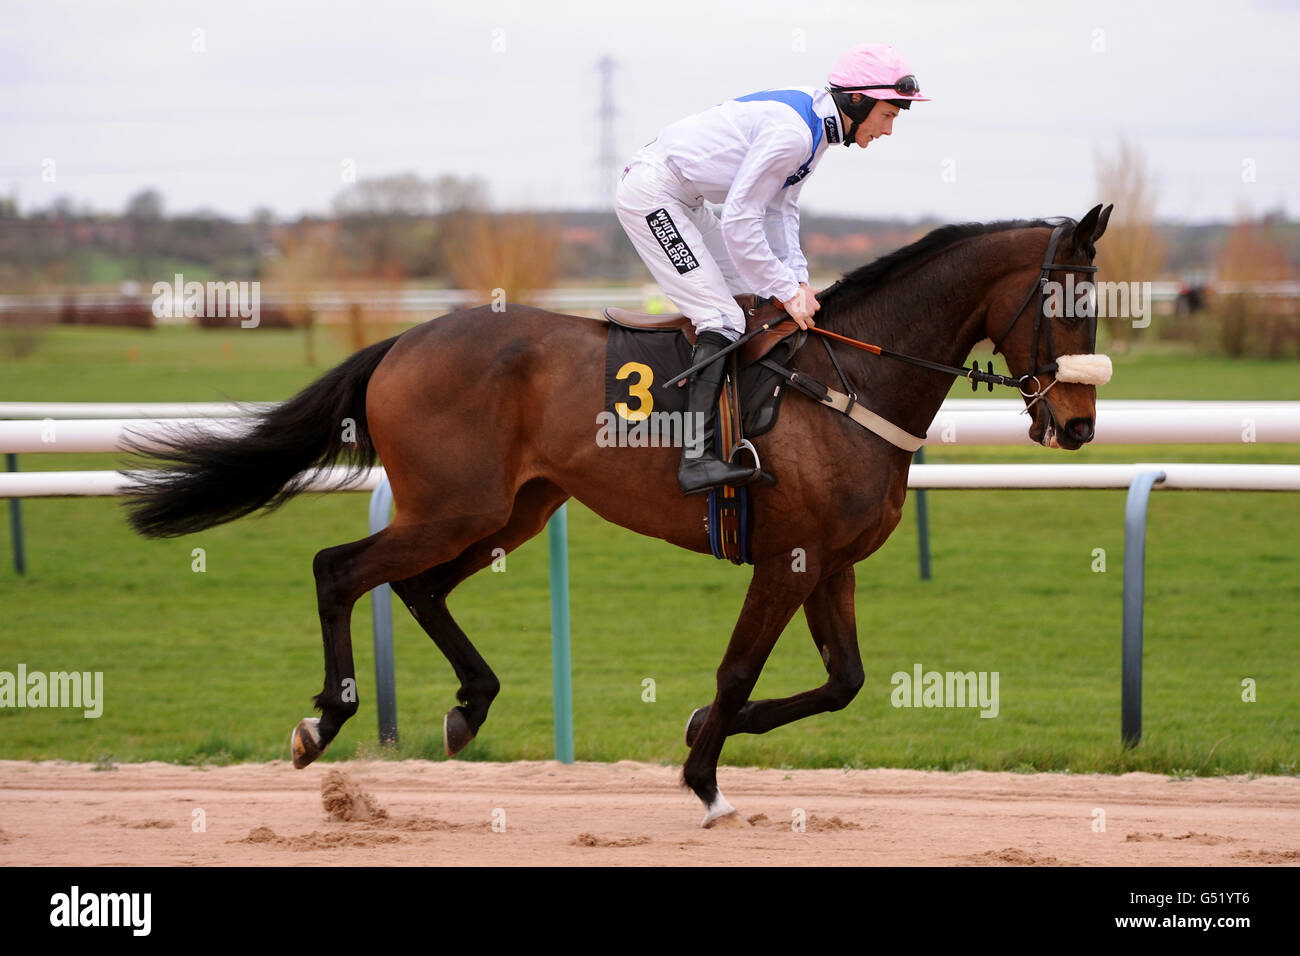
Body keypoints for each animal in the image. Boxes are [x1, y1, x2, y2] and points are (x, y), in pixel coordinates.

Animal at [124, 204, 1118, 832]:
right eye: (1065, 301)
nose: (1076, 425)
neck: (850, 381)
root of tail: (400, 341)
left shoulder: (830, 561)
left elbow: (843, 681)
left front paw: (700, 733)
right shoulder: (788, 557)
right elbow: (738, 668)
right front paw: (704, 780)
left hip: (511, 511)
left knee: (417, 587)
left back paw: (468, 707)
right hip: (456, 506)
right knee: (339, 567)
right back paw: (324, 721)